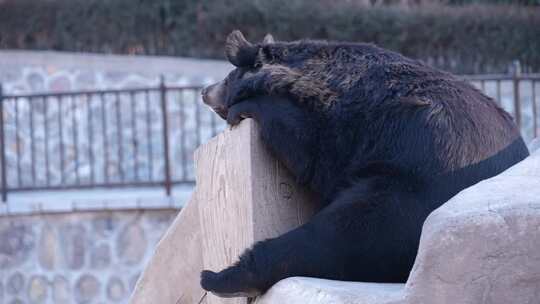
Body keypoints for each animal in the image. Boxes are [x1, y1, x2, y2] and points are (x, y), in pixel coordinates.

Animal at [198, 30, 528, 296]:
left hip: (409, 193)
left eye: (228, 76)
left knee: (339, 235)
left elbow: (307, 148)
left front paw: (244, 107)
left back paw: (219, 277)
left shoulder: (359, 134)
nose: (204, 91)